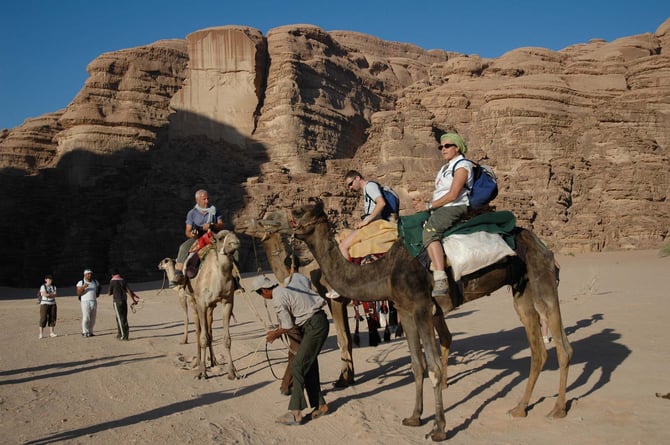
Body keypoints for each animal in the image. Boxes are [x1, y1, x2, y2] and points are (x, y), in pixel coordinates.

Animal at [159, 229, 242, 378]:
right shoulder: (201, 303)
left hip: (209, 306)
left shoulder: (227, 302)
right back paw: (198, 363)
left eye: (235, 235)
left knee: (209, 331)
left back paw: (213, 361)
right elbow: (202, 337)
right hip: (193, 301)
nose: (235, 242)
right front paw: (202, 372)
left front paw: (232, 372)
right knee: (199, 331)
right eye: (221, 238)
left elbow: (226, 339)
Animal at [272, 201, 572, 440]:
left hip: (542, 280)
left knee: (562, 344)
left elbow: (434, 368)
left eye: (298, 210)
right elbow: (417, 365)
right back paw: (520, 408)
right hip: (521, 290)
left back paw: (558, 408)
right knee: (538, 348)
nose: (271, 220)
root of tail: (541, 244)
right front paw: (415, 417)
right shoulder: (405, 311)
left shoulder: (422, 308)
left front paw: (439, 429)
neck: (385, 270)